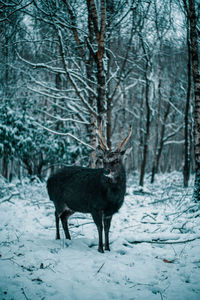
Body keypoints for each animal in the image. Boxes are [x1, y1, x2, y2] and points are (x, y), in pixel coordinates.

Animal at [46, 125, 132, 253]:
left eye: (116, 160)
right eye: (103, 160)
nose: (106, 171)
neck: (111, 197)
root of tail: (48, 180)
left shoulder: (110, 211)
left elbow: (107, 229)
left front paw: (108, 248)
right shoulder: (94, 207)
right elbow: (100, 227)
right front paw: (100, 249)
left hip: (71, 206)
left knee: (64, 217)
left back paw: (69, 238)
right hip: (58, 200)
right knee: (56, 214)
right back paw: (57, 237)